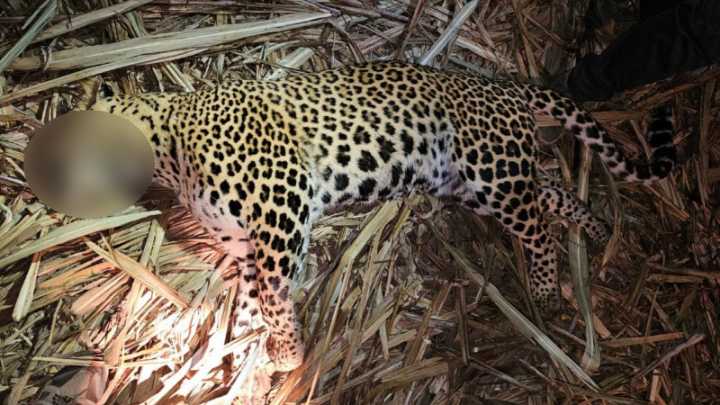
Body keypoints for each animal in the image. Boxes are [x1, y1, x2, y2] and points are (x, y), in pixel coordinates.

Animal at [85, 61, 676, 372]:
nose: (66, 184)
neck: (168, 146)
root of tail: (501, 84)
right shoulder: (244, 240)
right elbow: (253, 291)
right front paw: (259, 340)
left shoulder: (282, 205)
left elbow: (273, 293)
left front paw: (291, 354)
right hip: (475, 185)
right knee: (553, 193)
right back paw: (597, 230)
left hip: (492, 170)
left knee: (540, 230)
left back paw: (548, 293)